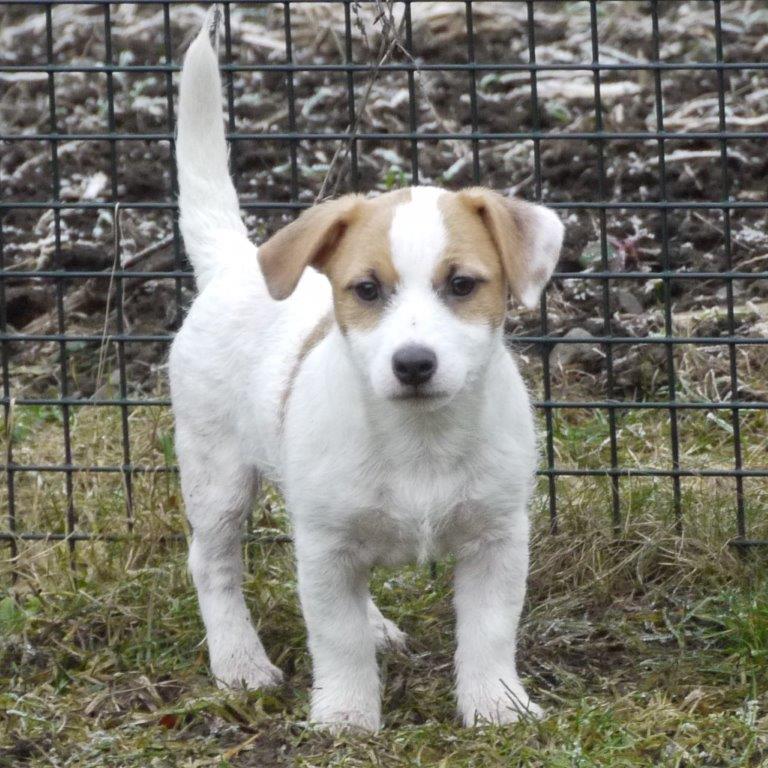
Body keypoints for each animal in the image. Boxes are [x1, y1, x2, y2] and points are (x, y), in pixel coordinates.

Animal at [170, 13, 564, 732]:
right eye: (366, 289)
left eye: (462, 285)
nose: (413, 363)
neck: (420, 441)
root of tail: (236, 261)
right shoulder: (325, 547)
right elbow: (336, 636)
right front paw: (347, 716)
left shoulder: (497, 539)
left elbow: (490, 631)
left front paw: (497, 704)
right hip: (216, 474)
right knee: (211, 566)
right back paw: (239, 663)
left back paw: (377, 626)